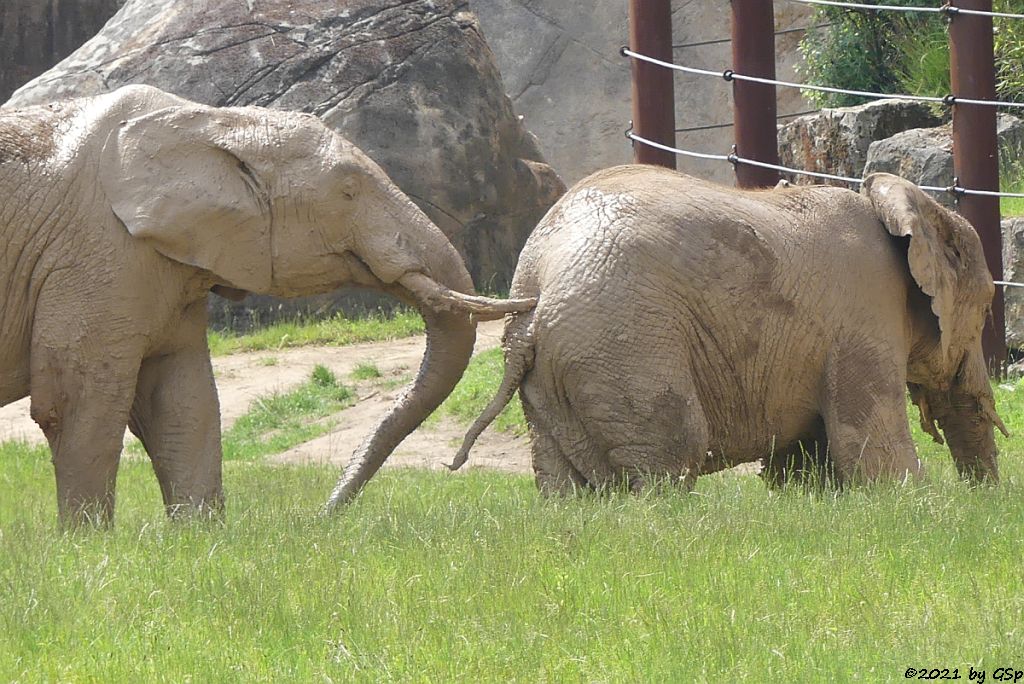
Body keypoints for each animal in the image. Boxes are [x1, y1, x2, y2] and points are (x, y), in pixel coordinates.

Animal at [4, 85, 536, 524]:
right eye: (348, 191)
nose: (325, 516)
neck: (211, 122)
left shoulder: (169, 265)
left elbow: (181, 400)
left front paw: (198, 541)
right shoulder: (92, 256)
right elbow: (77, 403)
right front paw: (88, 545)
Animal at [456, 167, 1007, 493]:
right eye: (985, 311)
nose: (984, 500)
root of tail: (536, 286)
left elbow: (804, 462)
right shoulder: (863, 319)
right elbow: (874, 454)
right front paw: (920, 503)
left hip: (555, 371)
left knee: (563, 479)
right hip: (622, 345)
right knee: (672, 452)